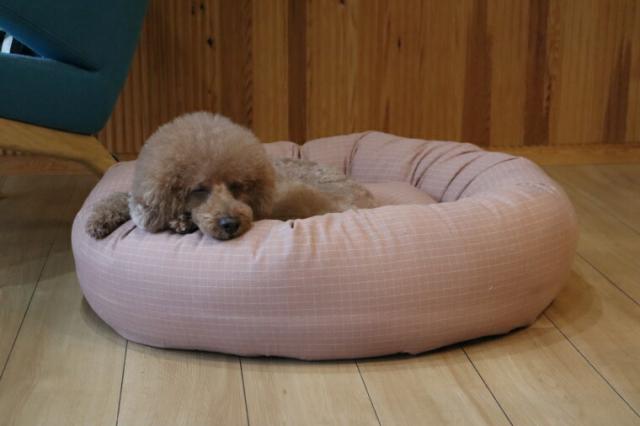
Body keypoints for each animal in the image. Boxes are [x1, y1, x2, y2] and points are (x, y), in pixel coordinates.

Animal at [86, 112, 375, 240]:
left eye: (237, 186)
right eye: (198, 189)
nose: (230, 224)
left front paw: (182, 221)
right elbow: (121, 198)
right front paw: (99, 220)